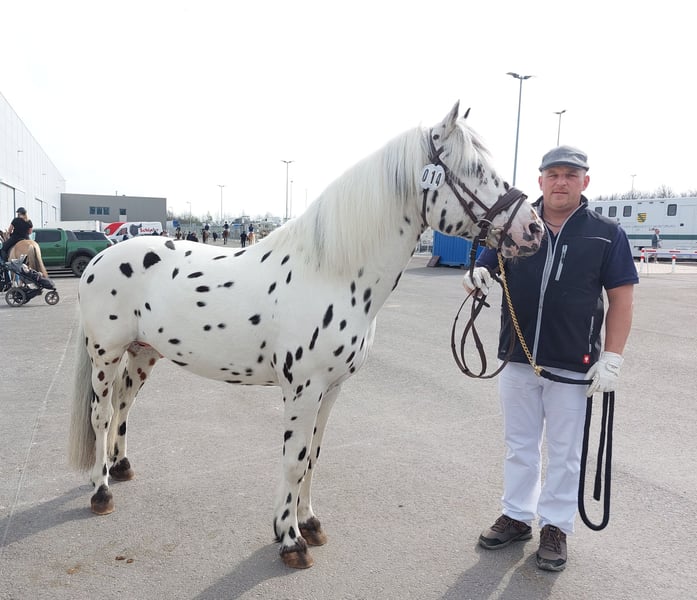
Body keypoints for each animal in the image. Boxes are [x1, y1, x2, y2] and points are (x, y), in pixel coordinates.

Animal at [68, 102, 544, 569]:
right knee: (101, 413)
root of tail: (102, 257)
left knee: (124, 405)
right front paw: (290, 539)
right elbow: (294, 460)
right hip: (106, 355)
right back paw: (101, 490)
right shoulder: (303, 388)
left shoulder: (331, 389)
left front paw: (309, 523)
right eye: (474, 169)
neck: (330, 272)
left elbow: (314, 454)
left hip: (142, 353)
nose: (534, 229)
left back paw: (120, 467)